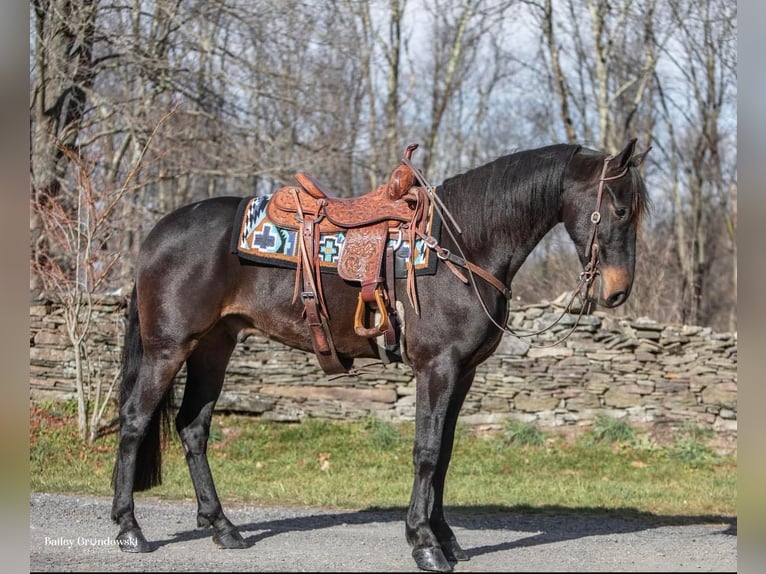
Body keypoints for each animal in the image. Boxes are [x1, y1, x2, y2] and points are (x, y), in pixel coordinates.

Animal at [111, 138, 652, 572]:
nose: (619, 291)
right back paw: (129, 529)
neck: (462, 247)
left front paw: (446, 538)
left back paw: (223, 527)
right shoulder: (436, 368)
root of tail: (158, 233)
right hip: (169, 347)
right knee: (135, 421)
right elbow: (427, 452)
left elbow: (445, 453)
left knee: (192, 428)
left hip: (214, 346)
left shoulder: (462, 375)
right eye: (620, 210)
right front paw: (424, 544)